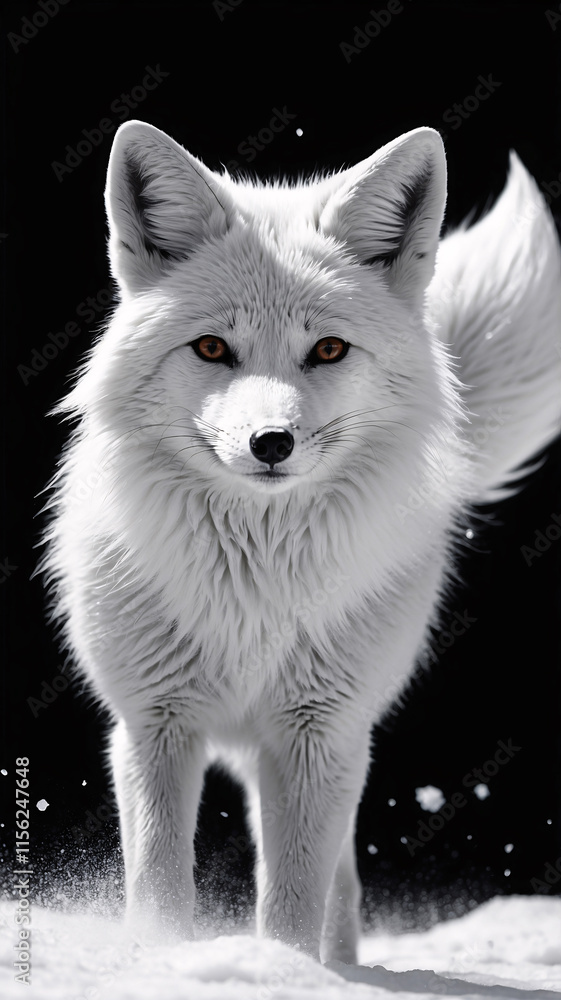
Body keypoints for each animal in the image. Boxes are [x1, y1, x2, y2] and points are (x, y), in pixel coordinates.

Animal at [40, 120, 561, 963]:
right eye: (211, 349)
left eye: (327, 351)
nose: (271, 442)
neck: (254, 584)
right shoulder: (154, 724)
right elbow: (160, 887)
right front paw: (164, 957)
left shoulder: (318, 732)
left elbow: (291, 903)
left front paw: (283, 969)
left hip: (335, 745)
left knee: (338, 884)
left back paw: (344, 968)